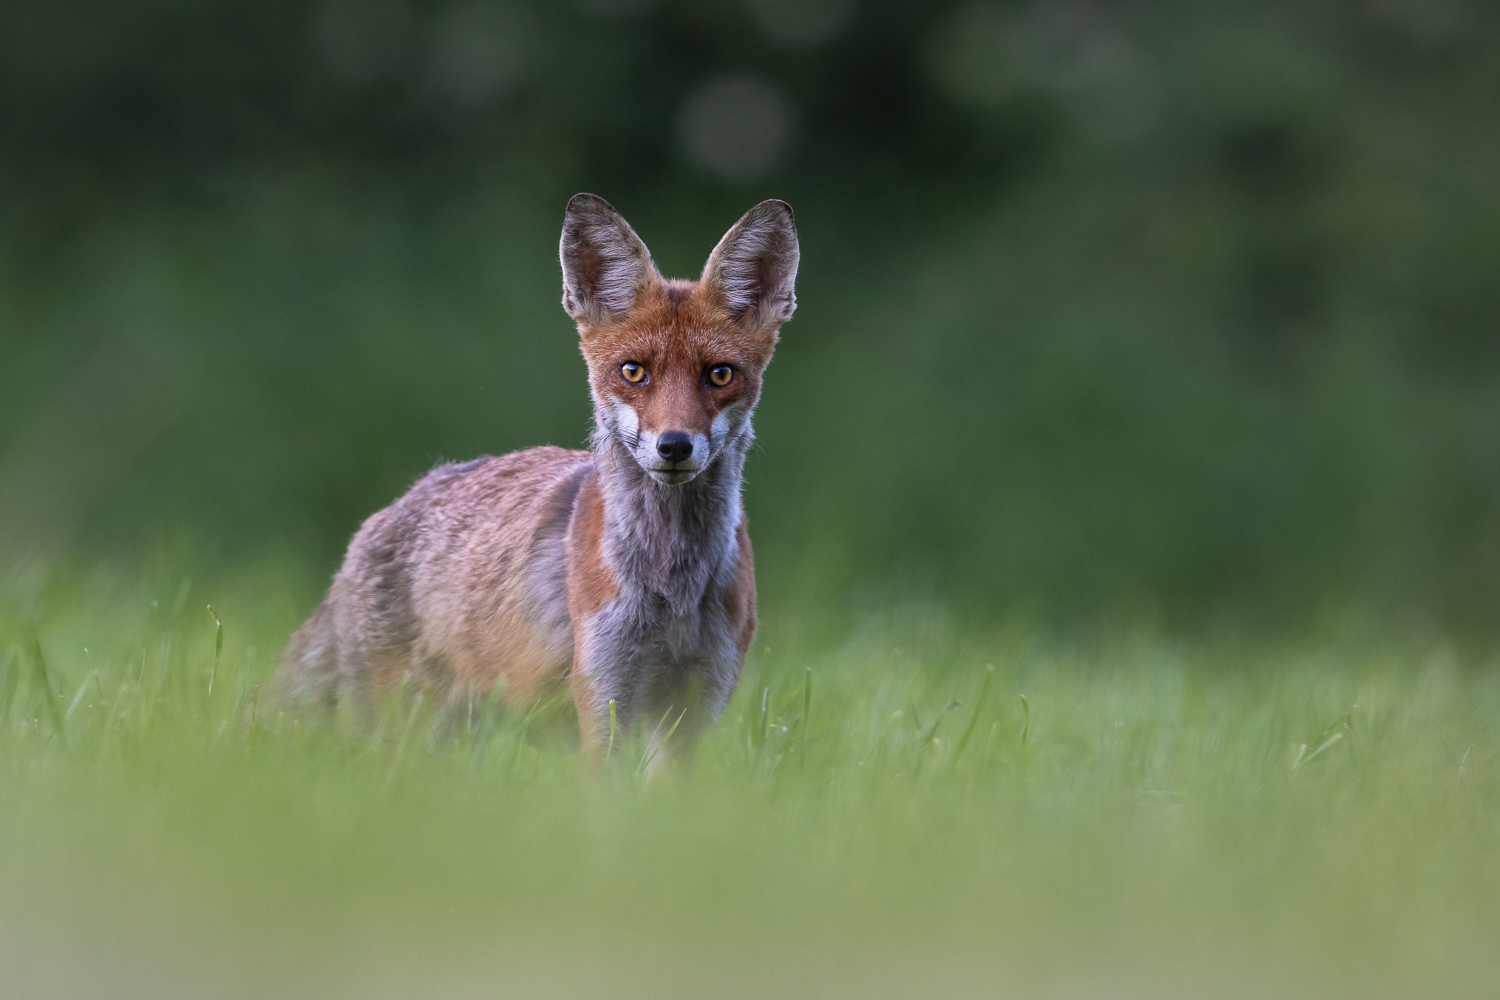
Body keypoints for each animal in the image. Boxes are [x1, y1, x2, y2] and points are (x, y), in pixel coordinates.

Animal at [279, 194, 798, 758]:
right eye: (633, 371)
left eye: (720, 375)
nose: (675, 445)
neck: (671, 587)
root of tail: (381, 519)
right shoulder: (605, 696)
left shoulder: (697, 708)